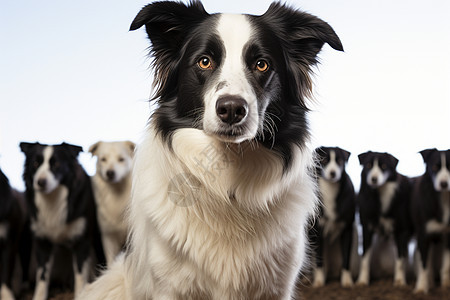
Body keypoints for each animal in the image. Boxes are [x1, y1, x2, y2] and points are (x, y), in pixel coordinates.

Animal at [19, 142, 104, 300]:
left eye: (56, 164)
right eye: (35, 163)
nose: (40, 182)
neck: (52, 200)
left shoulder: (82, 241)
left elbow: (80, 275)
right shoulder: (42, 242)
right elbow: (42, 276)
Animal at [310, 146, 356, 288]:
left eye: (340, 161)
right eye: (324, 160)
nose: (333, 173)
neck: (330, 189)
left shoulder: (347, 230)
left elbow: (346, 258)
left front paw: (347, 280)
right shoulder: (318, 231)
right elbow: (319, 260)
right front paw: (319, 281)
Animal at [356, 152, 414, 286]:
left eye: (383, 166)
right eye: (368, 165)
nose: (374, 179)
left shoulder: (401, 231)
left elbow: (400, 259)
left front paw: (400, 281)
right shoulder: (367, 228)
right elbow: (365, 257)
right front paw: (362, 280)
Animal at [412, 148, 450, 292]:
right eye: (434, 167)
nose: (444, 184)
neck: (444, 198)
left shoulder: (448, 234)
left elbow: (447, 264)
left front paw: (446, 284)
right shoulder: (423, 234)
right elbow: (424, 264)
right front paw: (421, 288)